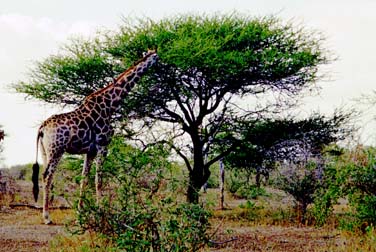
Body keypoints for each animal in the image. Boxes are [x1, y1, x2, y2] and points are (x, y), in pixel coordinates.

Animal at [30, 50, 157, 223]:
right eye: (156, 57)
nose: (162, 63)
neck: (110, 105)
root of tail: (42, 128)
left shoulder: (90, 151)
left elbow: (85, 178)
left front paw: (80, 214)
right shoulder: (103, 145)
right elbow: (99, 180)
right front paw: (101, 211)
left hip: (45, 152)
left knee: (46, 175)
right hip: (57, 150)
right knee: (47, 176)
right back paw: (47, 217)